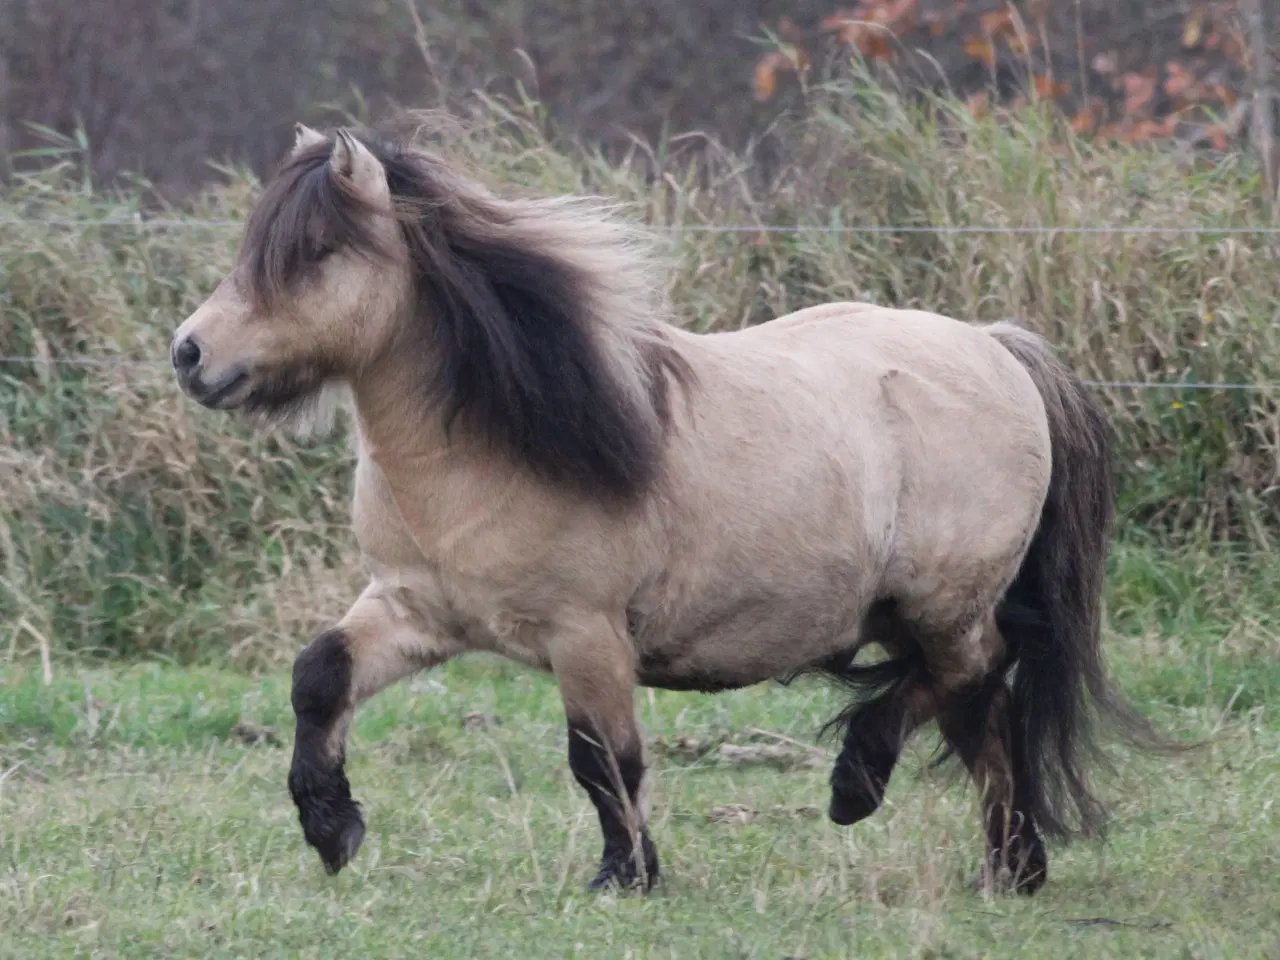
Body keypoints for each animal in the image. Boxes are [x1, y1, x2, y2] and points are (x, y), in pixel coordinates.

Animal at [170, 124, 1162, 901]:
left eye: (314, 252)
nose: (189, 354)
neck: (487, 448)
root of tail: (997, 347)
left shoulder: (586, 634)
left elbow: (602, 758)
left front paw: (625, 876)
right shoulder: (417, 610)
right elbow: (319, 677)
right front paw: (331, 827)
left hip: (943, 605)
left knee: (972, 676)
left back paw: (859, 781)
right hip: (916, 614)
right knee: (979, 711)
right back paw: (1010, 868)